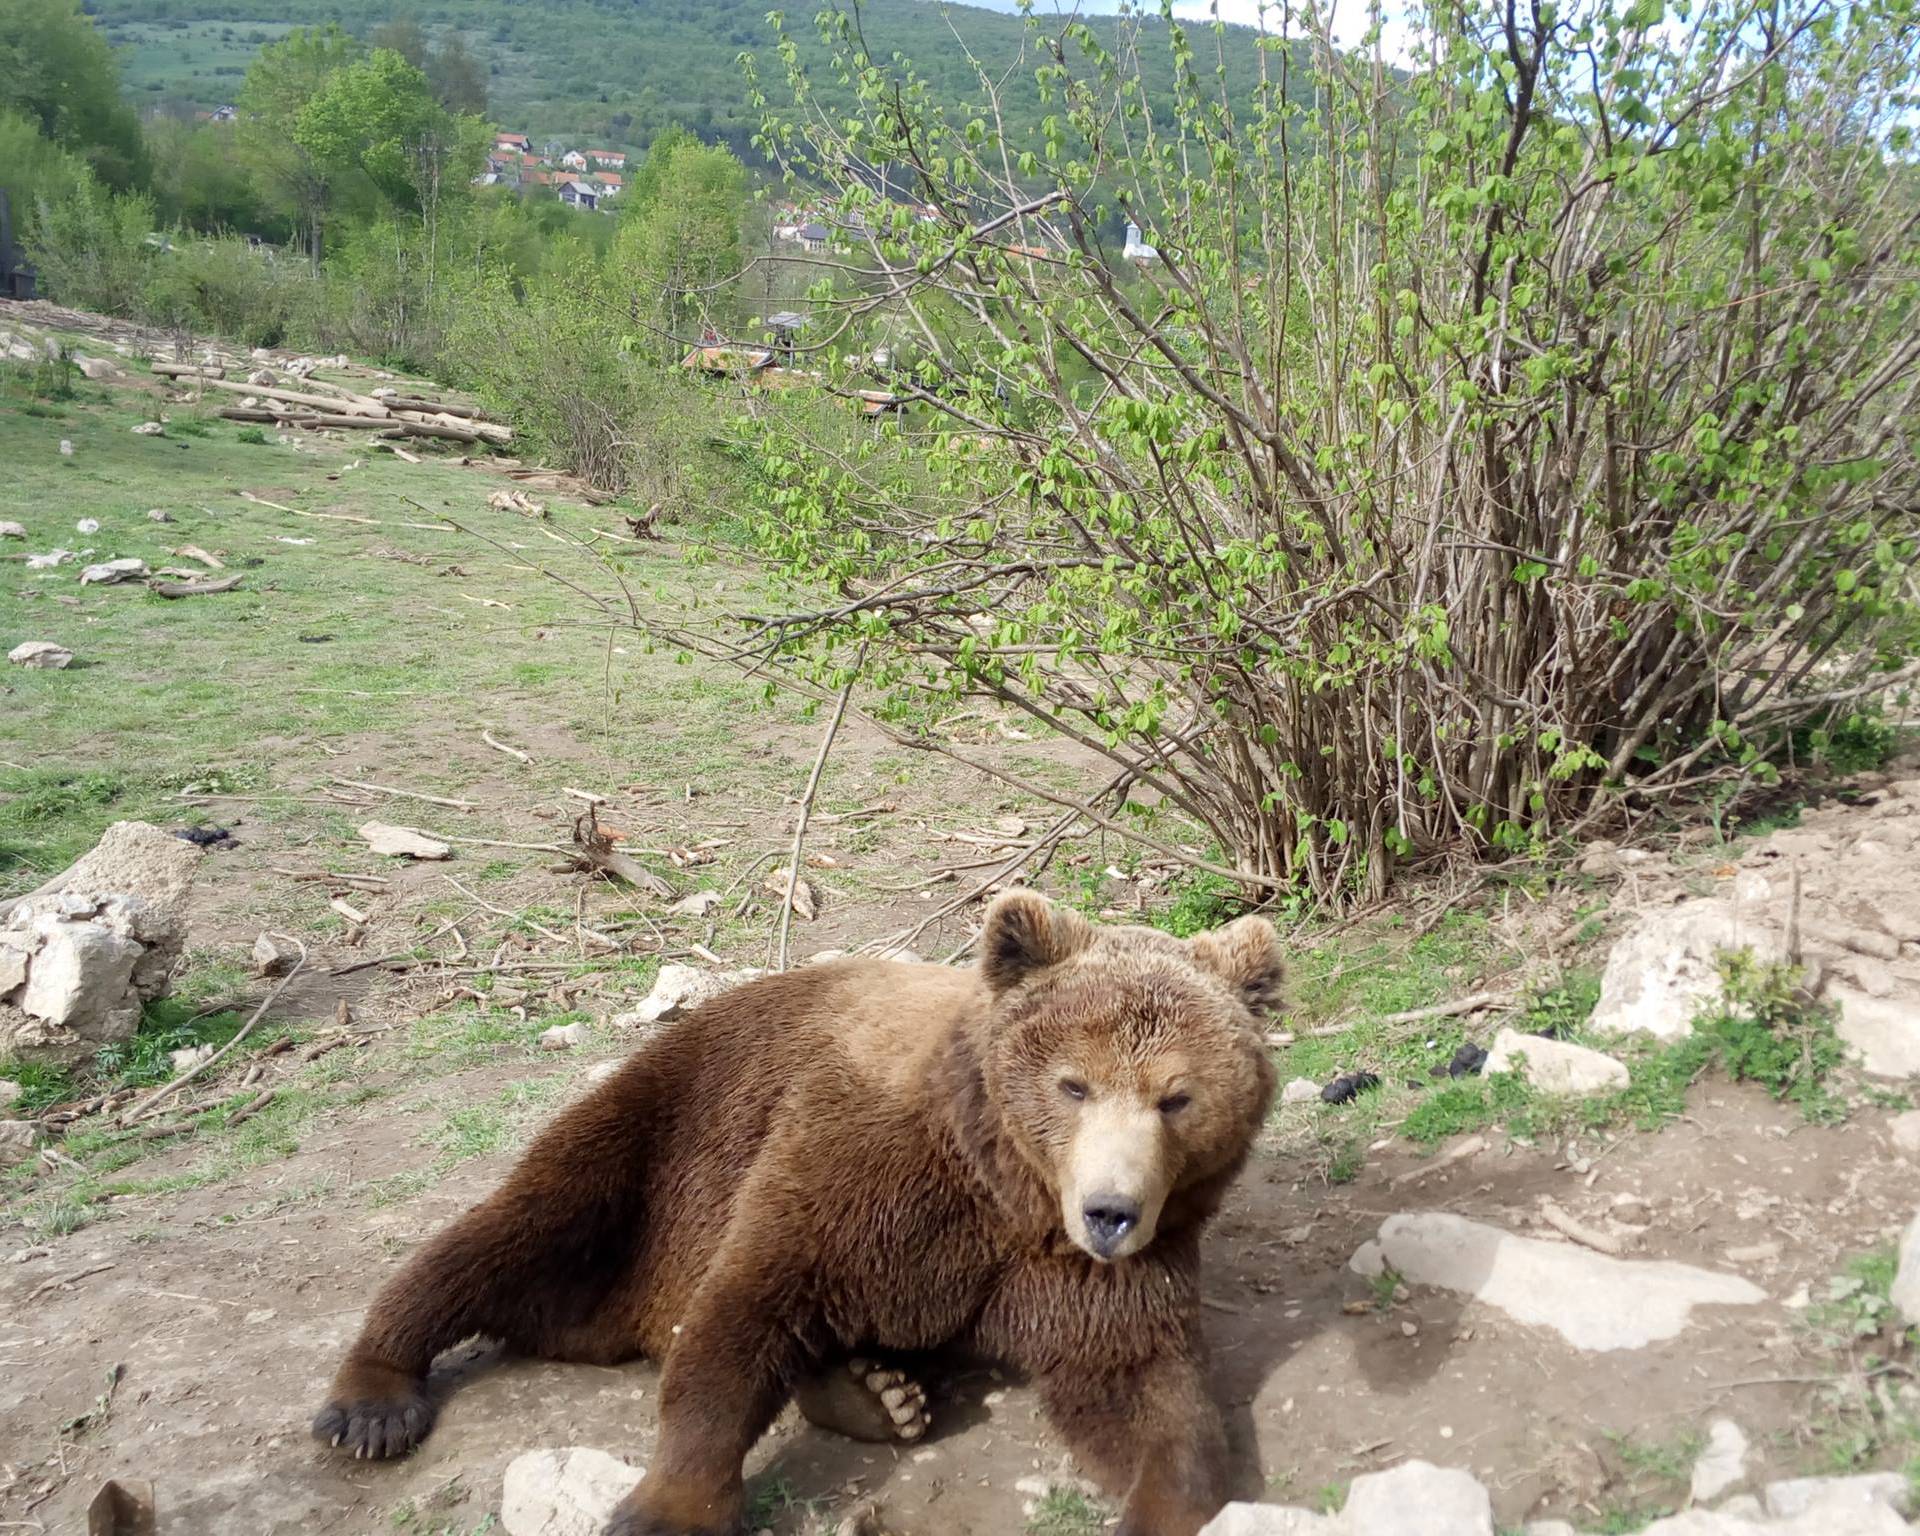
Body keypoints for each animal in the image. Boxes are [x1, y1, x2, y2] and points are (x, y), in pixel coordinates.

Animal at [314, 887, 1274, 1536]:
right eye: (1073, 1085)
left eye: (1177, 1097)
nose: (1111, 1210)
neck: (1004, 1186)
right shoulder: (860, 1167)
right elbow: (751, 1302)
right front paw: (668, 1506)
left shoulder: (1081, 1268)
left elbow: (1142, 1390)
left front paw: (1170, 1500)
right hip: (655, 1139)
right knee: (518, 1233)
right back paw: (373, 1402)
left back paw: (876, 1392)